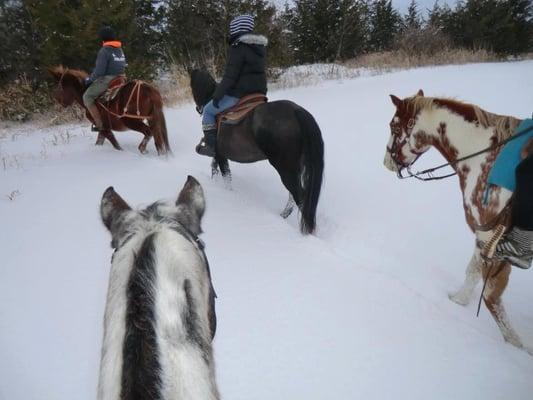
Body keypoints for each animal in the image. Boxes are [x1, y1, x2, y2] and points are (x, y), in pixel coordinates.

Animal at [191, 69, 324, 234]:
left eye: (192, 85)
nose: (199, 109)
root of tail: (296, 111)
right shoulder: (219, 155)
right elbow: (215, 170)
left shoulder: (220, 155)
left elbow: (225, 176)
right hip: (295, 167)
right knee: (294, 196)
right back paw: (283, 216)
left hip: (285, 168)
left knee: (299, 195)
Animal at [382, 90, 528, 354]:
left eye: (394, 127)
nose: (386, 162)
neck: (484, 158)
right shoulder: (486, 241)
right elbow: (472, 273)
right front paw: (458, 301)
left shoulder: (491, 240)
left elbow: (490, 296)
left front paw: (516, 345)